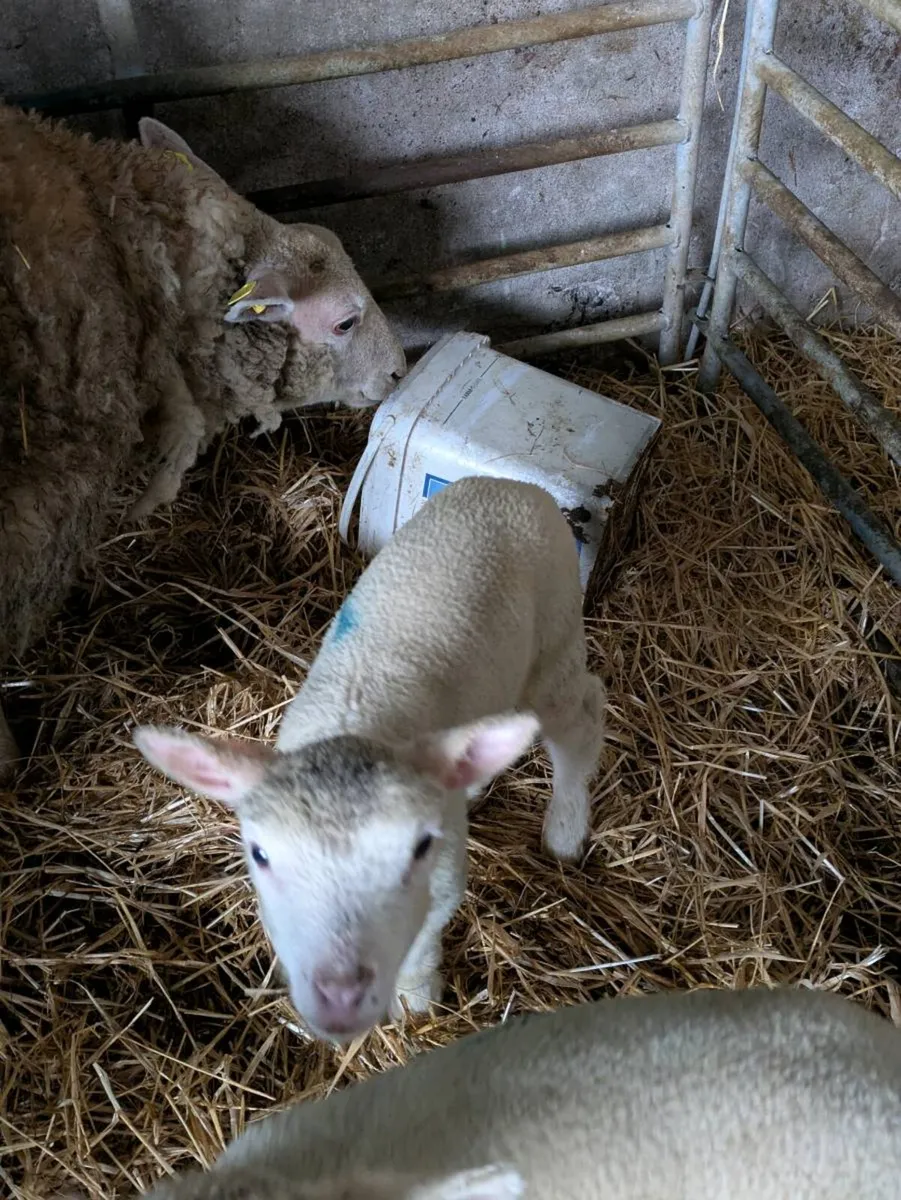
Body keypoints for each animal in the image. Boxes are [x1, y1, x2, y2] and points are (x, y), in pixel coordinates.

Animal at [134, 475, 606, 1041]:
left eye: (418, 848)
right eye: (260, 854)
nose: (340, 996)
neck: (356, 725)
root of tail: (510, 484)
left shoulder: (443, 883)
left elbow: (420, 949)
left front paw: (416, 1004)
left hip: (556, 634)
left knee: (582, 718)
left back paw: (566, 830)